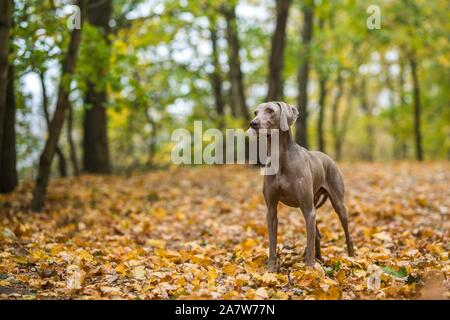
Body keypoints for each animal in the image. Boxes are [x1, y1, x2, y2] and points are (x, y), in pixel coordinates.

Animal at [246, 101, 356, 272]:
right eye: (255, 112)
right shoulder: (271, 210)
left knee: (346, 234)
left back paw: (351, 257)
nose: (253, 123)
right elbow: (272, 243)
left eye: (270, 110)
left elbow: (309, 242)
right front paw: (271, 270)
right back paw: (320, 259)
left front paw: (309, 269)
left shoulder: (307, 209)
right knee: (317, 235)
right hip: (313, 205)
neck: (281, 158)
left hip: (337, 204)